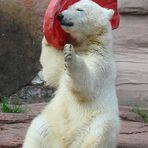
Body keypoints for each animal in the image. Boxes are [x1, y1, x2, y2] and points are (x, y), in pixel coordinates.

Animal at [23, 0, 120, 147]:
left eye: (79, 9)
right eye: (68, 7)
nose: (60, 16)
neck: (88, 45)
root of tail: (65, 143)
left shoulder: (102, 64)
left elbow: (87, 85)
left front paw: (71, 55)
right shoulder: (60, 66)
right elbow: (53, 69)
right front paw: (47, 34)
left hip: (90, 124)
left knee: (102, 128)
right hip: (51, 123)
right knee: (37, 131)